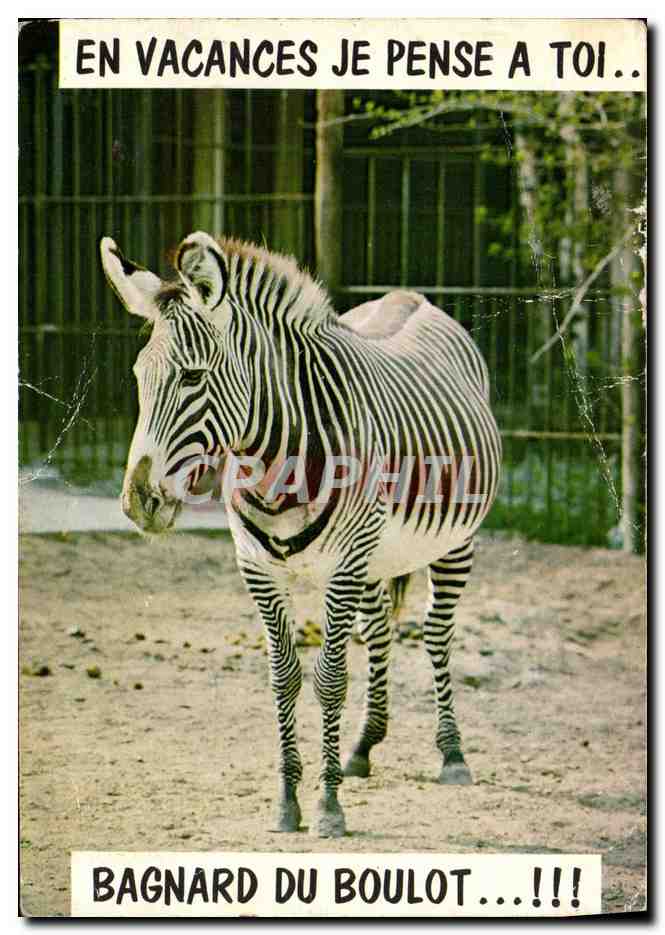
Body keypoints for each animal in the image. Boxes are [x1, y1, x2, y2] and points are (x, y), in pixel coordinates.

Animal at [100, 231, 501, 838]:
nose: (138, 502)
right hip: (376, 558)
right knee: (379, 630)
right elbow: (285, 676)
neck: (276, 471)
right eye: (138, 377)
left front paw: (329, 806)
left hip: (452, 542)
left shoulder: (344, 566)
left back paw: (451, 754)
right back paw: (362, 747)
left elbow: (330, 677)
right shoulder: (257, 568)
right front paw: (288, 801)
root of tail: (412, 296)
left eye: (193, 377)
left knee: (436, 632)